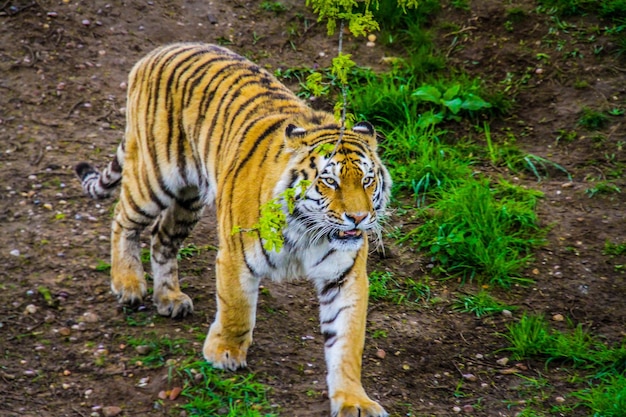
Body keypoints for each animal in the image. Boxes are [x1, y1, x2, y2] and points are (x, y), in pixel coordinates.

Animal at [75, 43, 390, 416]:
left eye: (367, 180)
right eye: (330, 181)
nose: (358, 218)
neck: (308, 230)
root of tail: (159, 51)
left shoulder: (344, 277)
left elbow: (347, 341)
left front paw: (354, 400)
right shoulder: (236, 255)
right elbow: (236, 306)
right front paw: (224, 352)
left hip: (189, 198)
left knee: (162, 238)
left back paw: (169, 298)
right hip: (154, 176)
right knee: (122, 219)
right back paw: (127, 283)